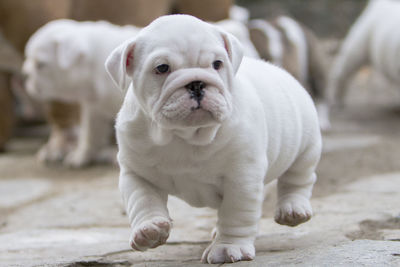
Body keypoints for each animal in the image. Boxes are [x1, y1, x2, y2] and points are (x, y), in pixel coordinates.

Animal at [105, 15, 322, 264]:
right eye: (162, 68)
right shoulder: (136, 172)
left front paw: (228, 248)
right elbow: (142, 199)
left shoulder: (242, 179)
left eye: (217, 64)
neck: (184, 135)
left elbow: (236, 213)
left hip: (306, 146)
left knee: (297, 179)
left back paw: (293, 209)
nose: (197, 83)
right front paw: (149, 229)